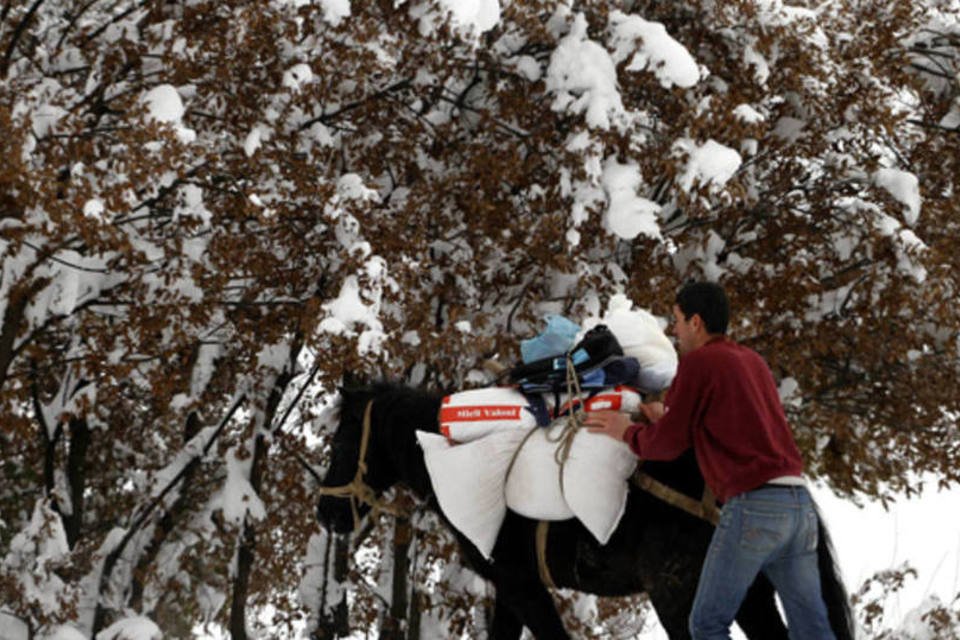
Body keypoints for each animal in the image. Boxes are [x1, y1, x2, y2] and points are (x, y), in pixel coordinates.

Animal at [316, 382, 856, 636]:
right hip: (748, 593)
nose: (327, 513)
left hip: (680, 596)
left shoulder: (523, 587)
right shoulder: (510, 591)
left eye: (339, 440)